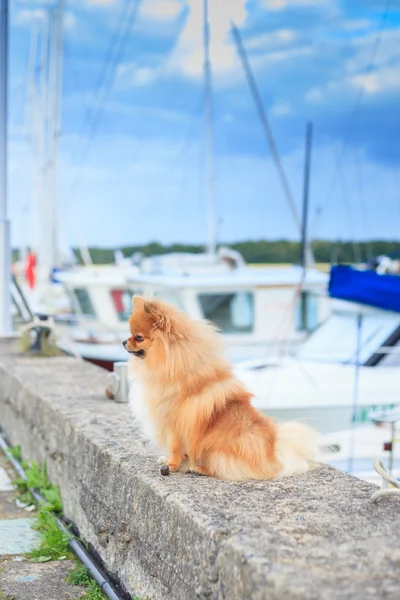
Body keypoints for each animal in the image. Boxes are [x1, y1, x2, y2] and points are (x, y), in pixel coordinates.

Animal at [125, 296, 318, 482]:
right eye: (130, 334)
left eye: (139, 337)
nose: (123, 341)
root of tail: (273, 453)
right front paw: (168, 460)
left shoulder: (173, 422)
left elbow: (175, 447)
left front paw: (172, 465)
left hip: (215, 449)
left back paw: (198, 468)